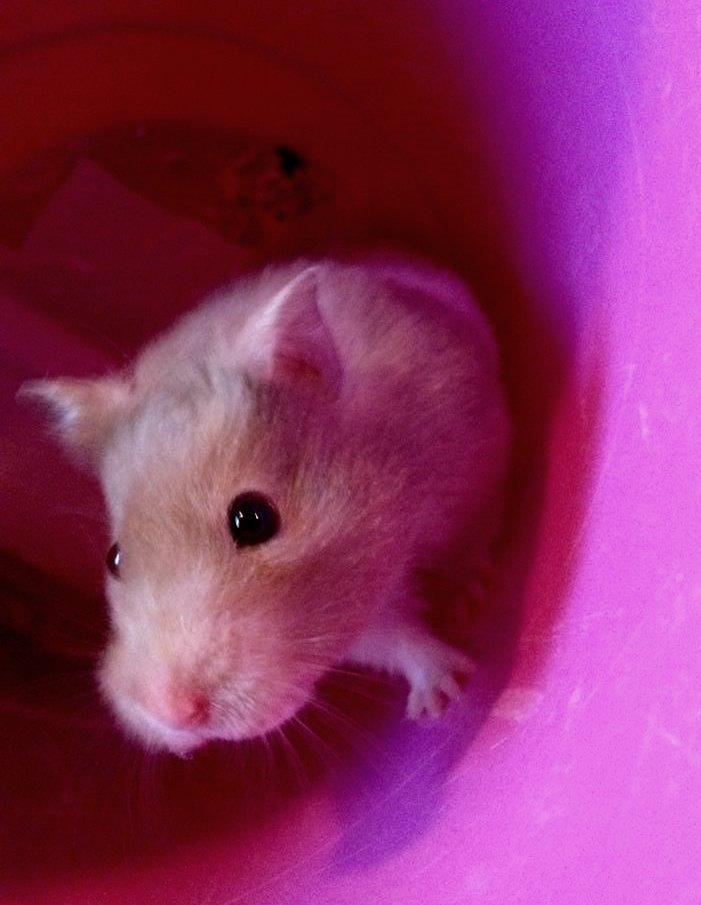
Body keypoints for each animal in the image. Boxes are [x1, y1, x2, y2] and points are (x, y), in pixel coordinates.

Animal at [24, 256, 511, 755]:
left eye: (253, 519)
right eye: (114, 558)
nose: (172, 716)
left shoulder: (477, 470)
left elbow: (474, 542)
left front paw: (461, 649)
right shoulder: (361, 619)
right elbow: (398, 640)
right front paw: (439, 695)